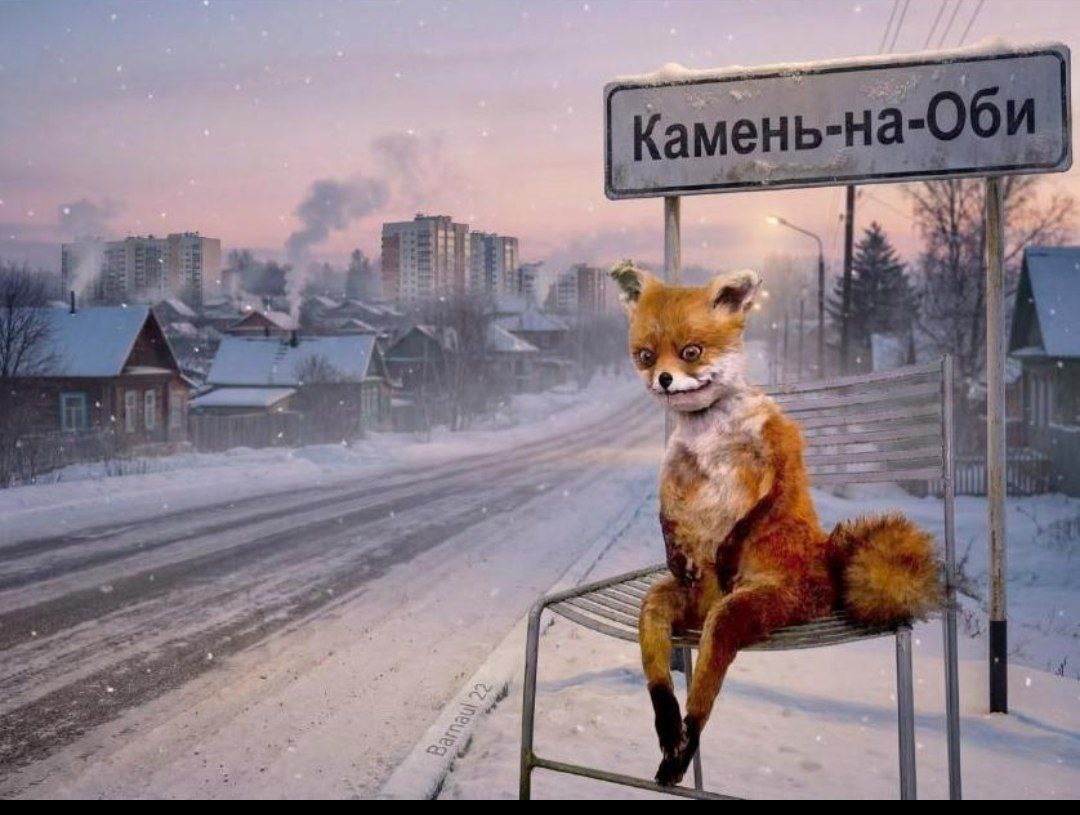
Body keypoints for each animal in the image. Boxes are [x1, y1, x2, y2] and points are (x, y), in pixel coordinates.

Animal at [610, 261, 941, 787]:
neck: (708, 436)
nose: (662, 379)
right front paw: (674, 545)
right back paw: (668, 736)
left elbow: (759, 507)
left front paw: (729, 544)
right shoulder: (674, 472)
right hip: (665, 604)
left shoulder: (777, 456)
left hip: (744, 610)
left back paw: (683, 746)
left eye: (691, 352)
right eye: (645, 356)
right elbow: (667, 512)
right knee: (659, 668)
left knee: (705, 690)